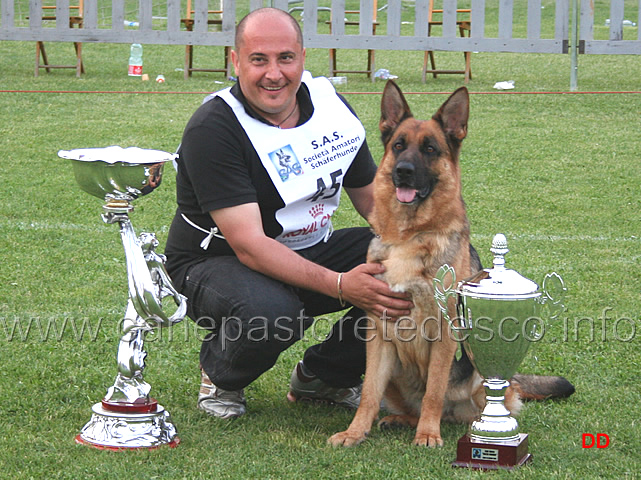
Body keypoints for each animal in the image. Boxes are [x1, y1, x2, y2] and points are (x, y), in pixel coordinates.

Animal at [328, 81, 572, 446]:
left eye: (430, 149)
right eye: (399, 146)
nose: (403, 172)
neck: (410, 234)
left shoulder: (444, 334)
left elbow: (434, 390)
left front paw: (428, 435)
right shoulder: (379, 335)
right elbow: (369, 392)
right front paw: (355, 433)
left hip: (481, 375)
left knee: (469, 408)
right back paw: (401, 419)